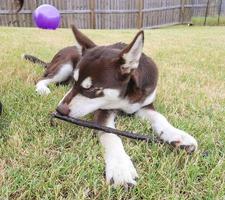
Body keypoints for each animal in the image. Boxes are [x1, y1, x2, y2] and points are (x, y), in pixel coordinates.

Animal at [26, 26, 199, 188]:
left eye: (91, 89)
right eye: (75, 82)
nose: (59, 110)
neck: (125, 95)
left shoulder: (144, 104)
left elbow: (159, 117)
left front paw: (177, 135)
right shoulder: (103, 110)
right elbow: (111, 135)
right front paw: (119, 167)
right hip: (64, 66)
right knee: (43, 78)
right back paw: (42, 89)